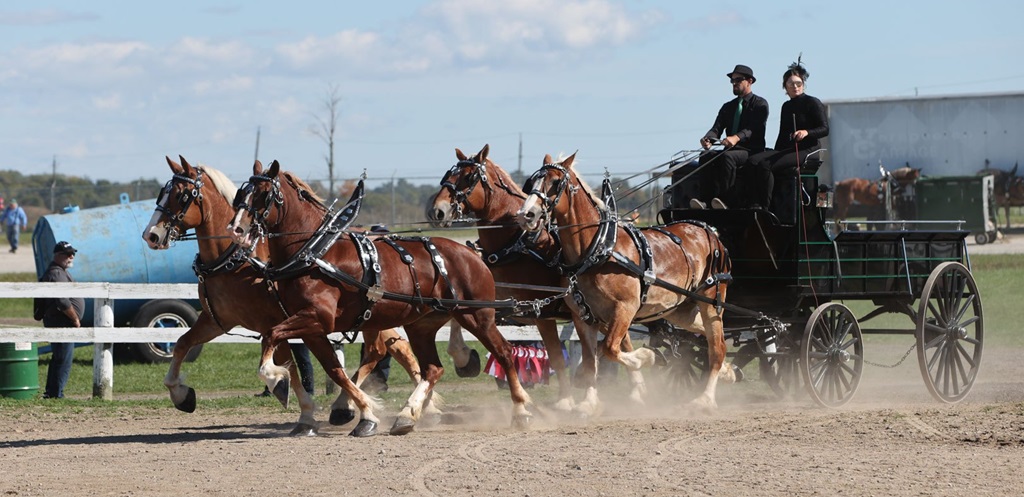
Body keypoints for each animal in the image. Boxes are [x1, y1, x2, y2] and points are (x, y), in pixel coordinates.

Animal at [142, 156, 431, 436]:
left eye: (182, 195)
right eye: (162, 193)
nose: (150, 235)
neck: (237, 262)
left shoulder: (273, 323)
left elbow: (288, 367)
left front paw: (289, 396)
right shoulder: (216, 321)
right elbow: (182, 343)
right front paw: (181, 395)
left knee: (386, 349)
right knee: (388, 349)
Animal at [227, 159, 533, 436]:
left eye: (264, 194)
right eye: (241, 194)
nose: (236, 229)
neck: (316, 252)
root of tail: (471, 253)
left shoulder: (317, 318)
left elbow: (271, 335)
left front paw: (277, 380)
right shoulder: (312, 329)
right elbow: (335, 370)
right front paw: (364, 414)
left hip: (477, 315)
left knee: (504, 352)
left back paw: (521, 411)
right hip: (421, 325)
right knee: (433, 369)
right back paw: (407, 415)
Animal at [516, 153, 736, 413]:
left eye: (556, 182)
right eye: (532, 181)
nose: (526, 215)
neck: (597, 249)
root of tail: (709, 231)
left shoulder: (625, 309)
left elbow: (611, 348)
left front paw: (647, 358)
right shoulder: (583, 317)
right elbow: (590, 363)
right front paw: (588, 403)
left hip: (711, 301)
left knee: (717, 348)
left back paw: (705, 399)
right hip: (680, 310)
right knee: (711, 338)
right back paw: (728, 372)